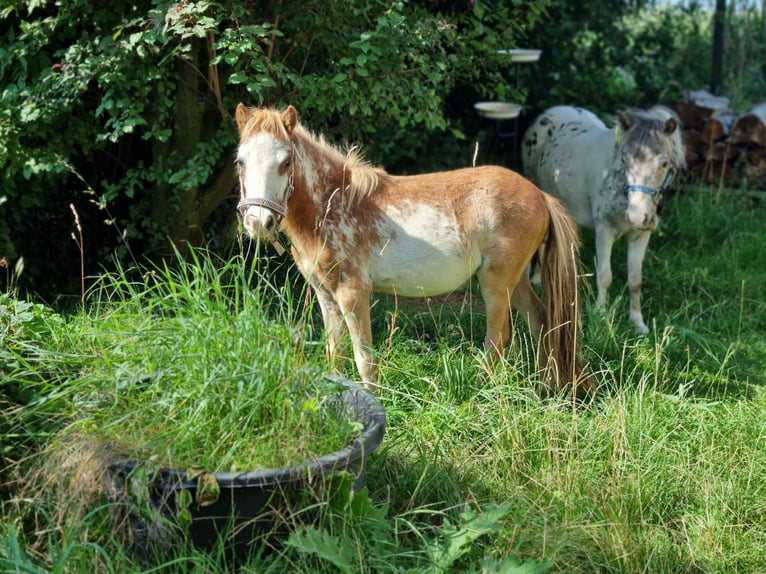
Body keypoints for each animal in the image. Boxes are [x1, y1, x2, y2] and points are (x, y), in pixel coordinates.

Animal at [234, 103, 592, 398]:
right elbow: (335, 354)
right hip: (515, 282)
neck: (333, 204)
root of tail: (540, 195)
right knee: (541, 322)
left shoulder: (353, 294)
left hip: (496, 283)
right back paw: (545, 389)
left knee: (499, 338)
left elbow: (364, 358)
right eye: (240, 161)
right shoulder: (327, 297)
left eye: (285, 162)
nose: (258, 222)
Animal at [524, 106, 688, 336]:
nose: (637, 217)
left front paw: (638, 323)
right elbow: (604, 275)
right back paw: (537, 279)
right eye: (625, 160)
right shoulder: (604, 231)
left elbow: (635, 281)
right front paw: (600, 315)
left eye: (664, 163)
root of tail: (551, 111)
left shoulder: (640, 237)